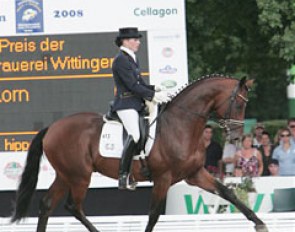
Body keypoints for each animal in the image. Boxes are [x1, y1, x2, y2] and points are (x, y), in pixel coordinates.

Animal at [11, 75, 268, 231]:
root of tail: (52, 127)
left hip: (66, 175)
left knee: (46, 204)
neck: (181, 124)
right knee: (73, 207)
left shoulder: (195, 174)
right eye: (239, 104)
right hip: (79, 176)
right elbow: (154, 214)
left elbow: (228, 193)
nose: (236, 138)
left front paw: (259, 223)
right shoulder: (163, 178)